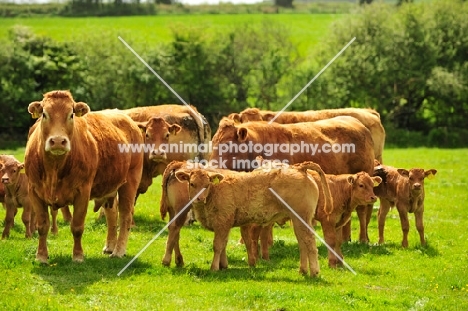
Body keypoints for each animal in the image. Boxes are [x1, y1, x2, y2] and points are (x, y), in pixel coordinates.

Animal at [25, 90, 143, 264]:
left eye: (71, 115)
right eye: (44, 114)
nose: (58, 141)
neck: (55, 168)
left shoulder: (83, 192)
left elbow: (77, 226)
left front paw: (78, 256)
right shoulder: (34, 191)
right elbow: (42, 226)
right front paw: (41, 256)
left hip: (130, 181)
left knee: (125, 215)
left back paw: (118, 251)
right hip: (109, 186)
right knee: (112, 214)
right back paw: (110, 246)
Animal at [174, 162, 330, 276]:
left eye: (207, 185)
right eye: (192, 184)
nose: (199, 198)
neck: (215, 191)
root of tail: (299, 168)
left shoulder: (222, 223)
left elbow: (217, 245)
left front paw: (214, 267)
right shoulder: (225, 225)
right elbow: (224, 244)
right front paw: (223, 265)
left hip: (302, 218)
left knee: (310, 242)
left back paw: (314, 272)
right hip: (298, 221)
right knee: (302, 243)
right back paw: (302, 270)